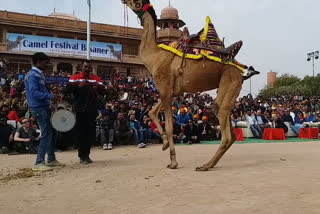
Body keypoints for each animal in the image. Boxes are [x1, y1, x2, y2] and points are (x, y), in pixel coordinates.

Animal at [121, 0, 258, 171]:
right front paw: (164, 144)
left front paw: (173, 162)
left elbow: (169, 125)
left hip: (230, 82)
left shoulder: (164, 88)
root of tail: (241, 72)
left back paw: (205, 165)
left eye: (137, 2)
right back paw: (210, 164)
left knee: (226, 132)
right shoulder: (172, 92)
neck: (154, 56)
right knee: (230, 132)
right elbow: (151, 112)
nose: (124, 1)